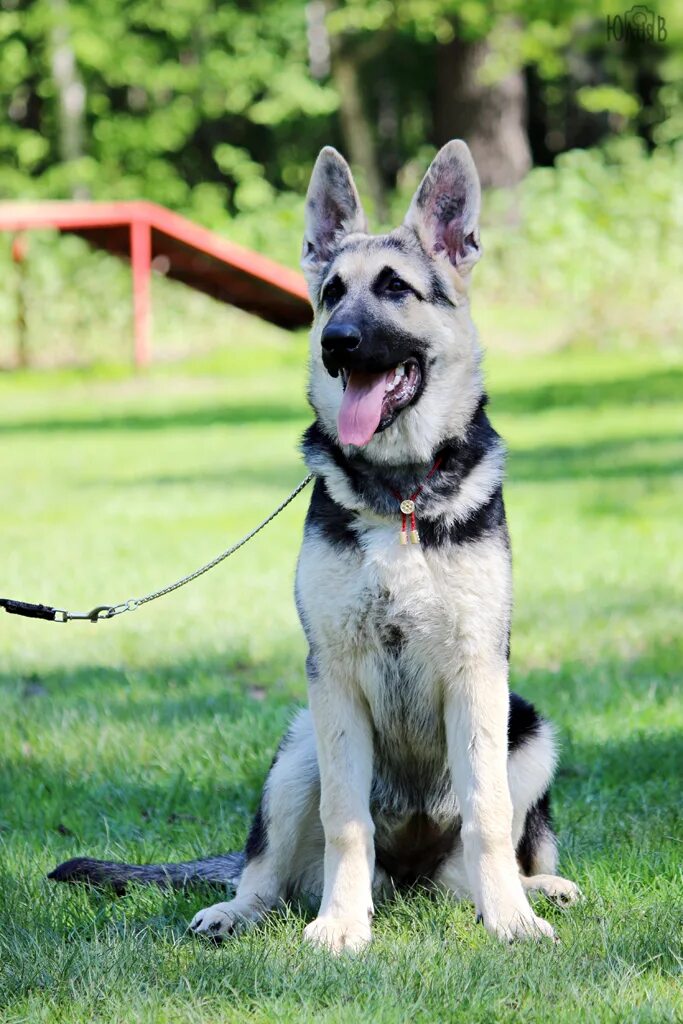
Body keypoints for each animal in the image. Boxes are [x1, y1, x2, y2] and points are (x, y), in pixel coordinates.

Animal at [50, 140, 581, 946]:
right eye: (331, 293)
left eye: (394, 289)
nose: (338, 342)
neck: (398, 492)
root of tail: (410, 880)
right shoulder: (332, 681)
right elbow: (344, 822)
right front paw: (340, 924)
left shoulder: (479, 675)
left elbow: (486, 815)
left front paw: (512, 921)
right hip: (298, 749)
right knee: (265, 869)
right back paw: (241, 908)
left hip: (530, 731)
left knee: (484, 855)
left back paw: (528, 889)